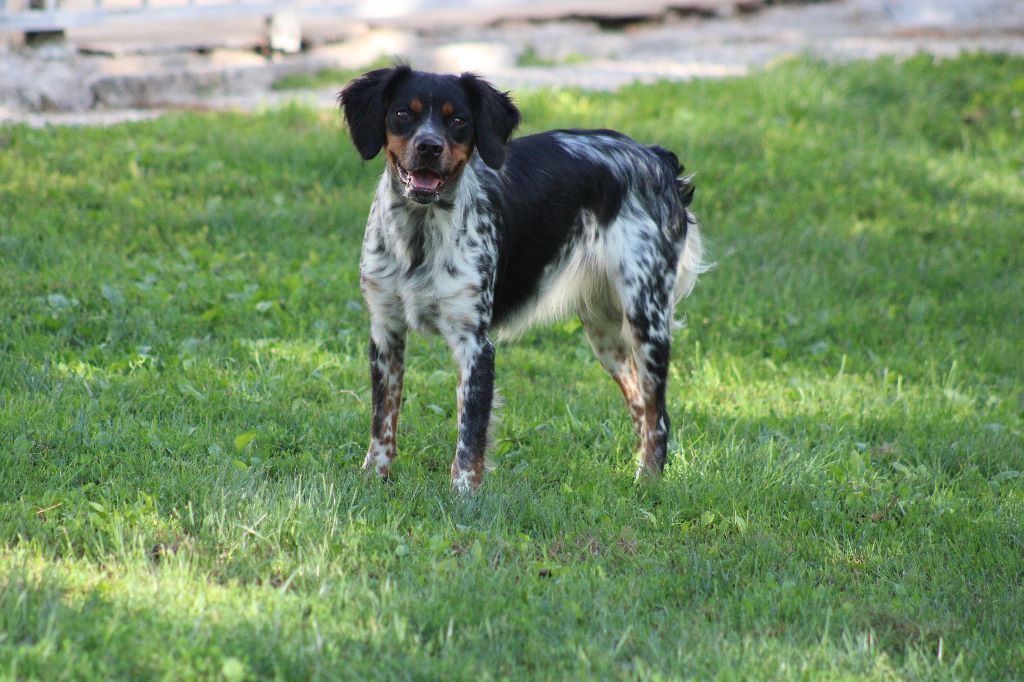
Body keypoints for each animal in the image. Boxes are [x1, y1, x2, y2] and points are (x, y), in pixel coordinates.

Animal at [337, 66, 704, 491]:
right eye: (401, 114)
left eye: (458, 120)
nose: (429, 146)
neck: (419, 236)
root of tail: (655, 157)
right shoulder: (386, 330)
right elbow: (383, 417)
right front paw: (373, 478)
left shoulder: (475, 344)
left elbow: (470, 434)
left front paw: (464, 494)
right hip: (605, 332)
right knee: (640, 405)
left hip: (647, 318)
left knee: (658, 415)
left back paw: (647, 483)